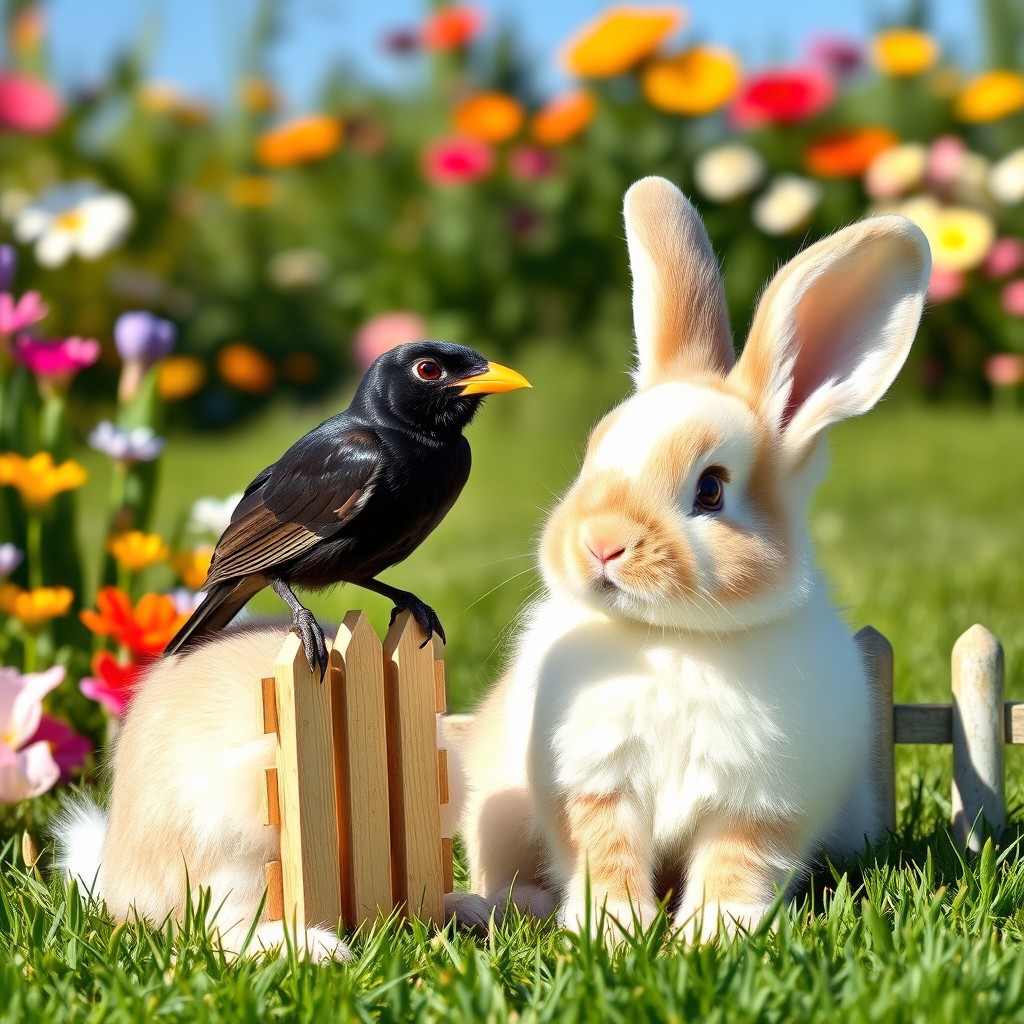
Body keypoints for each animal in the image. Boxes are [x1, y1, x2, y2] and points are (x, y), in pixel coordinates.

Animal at [457, 176, 931, 943]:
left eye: (710, 489)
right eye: (593, 453)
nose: (600, 542)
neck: (674, 639)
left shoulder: (759, 801)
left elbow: (737, 864)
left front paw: (715, 933)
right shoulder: (592, 785)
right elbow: (604, 855)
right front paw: (616, 930)